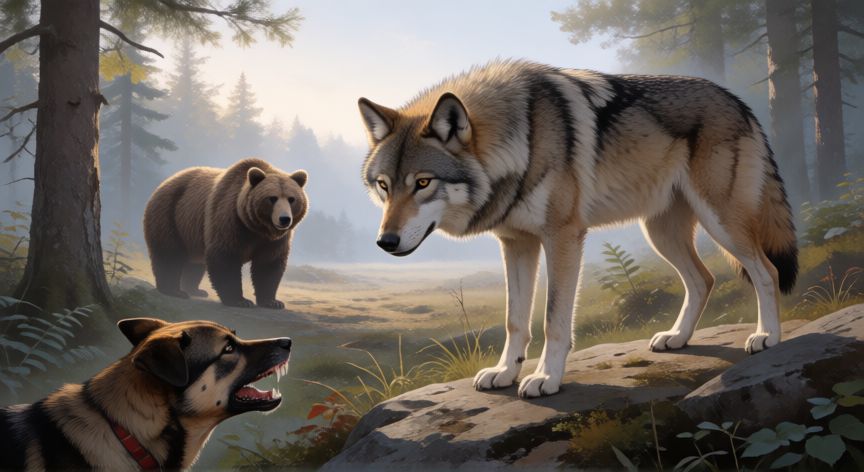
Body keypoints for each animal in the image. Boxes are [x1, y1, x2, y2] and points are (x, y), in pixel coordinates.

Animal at [143, 158, 308, 308]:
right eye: (272, 198)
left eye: (291, 199)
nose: (284, 219)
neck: (257, 227)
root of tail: (164, 183)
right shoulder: (228, 218)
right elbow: (225, 256)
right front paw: (240, 300)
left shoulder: (274, 240)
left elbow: (269, 263)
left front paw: (272, 301)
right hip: (170, 215)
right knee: (169, 254)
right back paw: (174, 290)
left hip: (192, 234)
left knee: (195, 263)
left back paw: (194, 290)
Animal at [357, 59, 797, 398]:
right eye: (384, 186)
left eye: (423, 182)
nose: (384, 242)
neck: (522, 141)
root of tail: (739, 101)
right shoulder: (516, 243)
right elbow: (515, 320)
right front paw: (505, 372)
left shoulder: (562, 237)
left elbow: (553, 319)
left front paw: (545, 378)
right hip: (661, 234)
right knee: (703, 279)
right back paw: (677, 338)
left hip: (720, 223)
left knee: (766, 271)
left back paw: (767, 337)